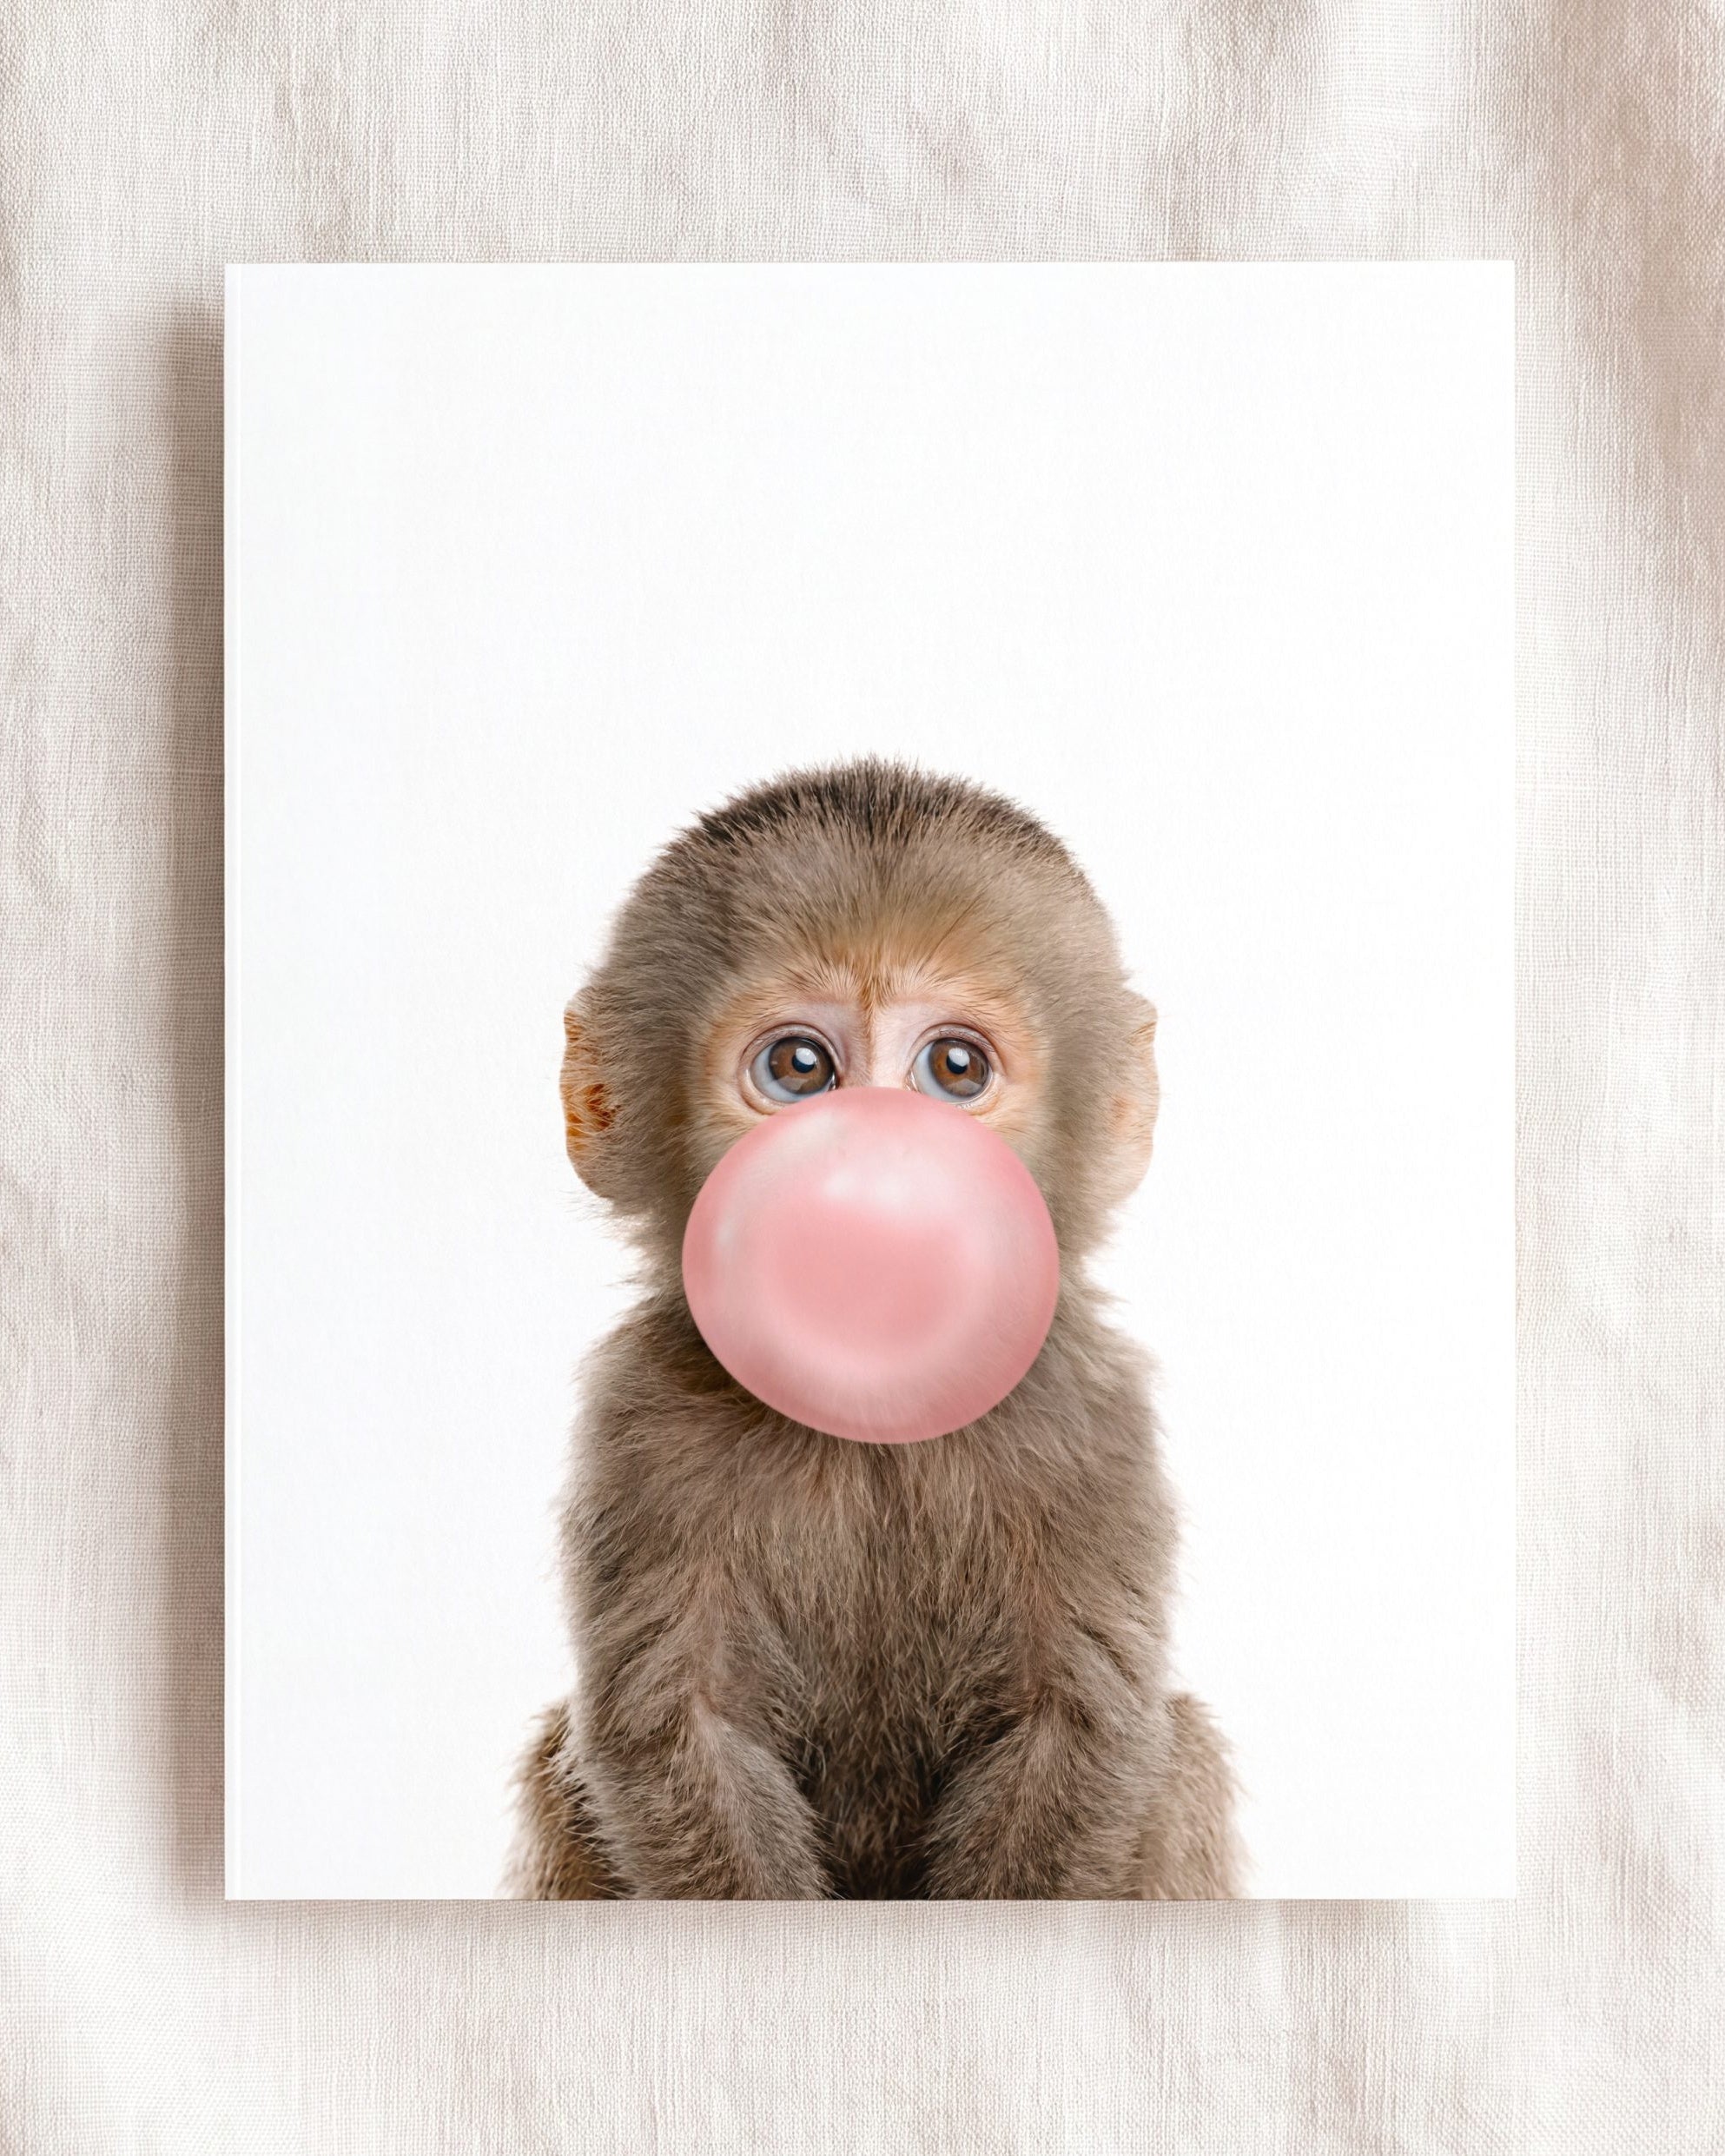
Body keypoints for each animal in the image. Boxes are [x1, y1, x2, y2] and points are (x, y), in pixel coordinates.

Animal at [508, 759, 1240, 1900]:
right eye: (800, 1068)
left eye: (955, 1070)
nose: (875, 1168)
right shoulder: (642, 1415)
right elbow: (679, 1731)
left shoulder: (1091, 1413)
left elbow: (1076, 1728)